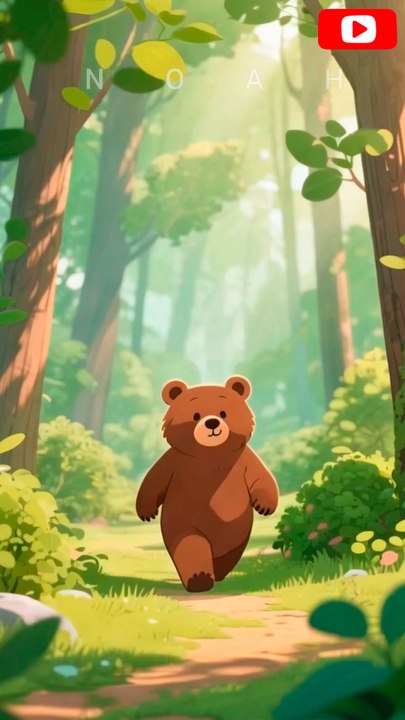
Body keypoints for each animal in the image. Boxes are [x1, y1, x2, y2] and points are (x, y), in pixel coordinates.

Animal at [135, 375, 279, 593]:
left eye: (224, 413)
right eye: (195, 415)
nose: (212, 422)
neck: (210, 453)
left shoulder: (243, 459)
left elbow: (261, 478)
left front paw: (265, 506)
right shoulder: (175, 462)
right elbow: (154, 480)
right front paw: (146, 512)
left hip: (237, 537)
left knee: (229, 554)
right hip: (182, 520)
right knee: (191, 545)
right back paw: (199, 578)